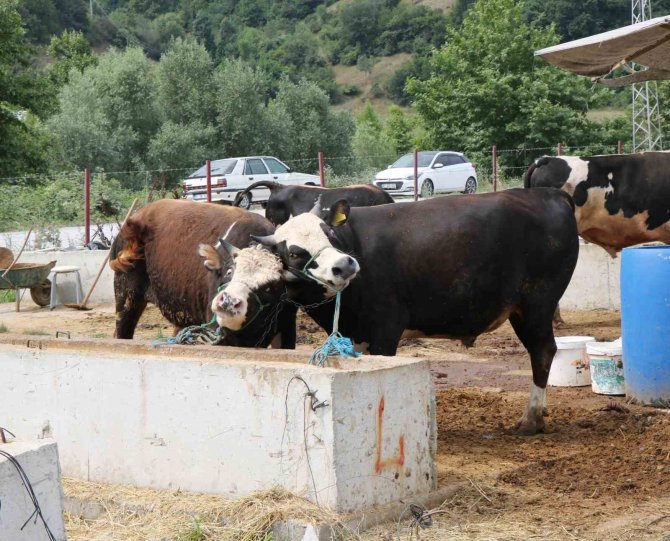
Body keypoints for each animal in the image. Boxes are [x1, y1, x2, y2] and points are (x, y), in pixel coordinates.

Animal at [218, 190, 580, 434]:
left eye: (330, 233)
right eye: (294, 252)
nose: (344, 264)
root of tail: (549, 194)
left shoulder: (386, 329)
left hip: (536, 304)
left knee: (542, 352)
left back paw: (531, 418)